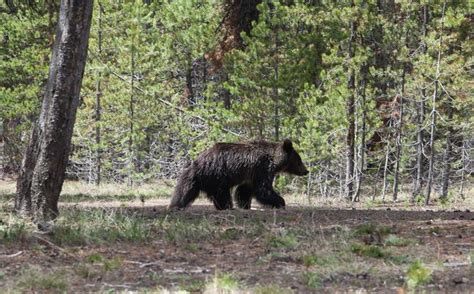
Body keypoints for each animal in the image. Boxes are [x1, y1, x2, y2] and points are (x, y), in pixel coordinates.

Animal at [168, 140, 310, 210]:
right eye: (299, 161)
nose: (306, 171)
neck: (273, 160)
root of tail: (198, 163)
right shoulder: (262, 168)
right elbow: (263, 189)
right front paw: (280, 202)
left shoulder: (250, 174)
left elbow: (245, 190)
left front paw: (245, 204)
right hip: (218, 174)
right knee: (221, 192)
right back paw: (226, 206)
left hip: (199, 178)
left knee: (185, 190)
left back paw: (176, 204)